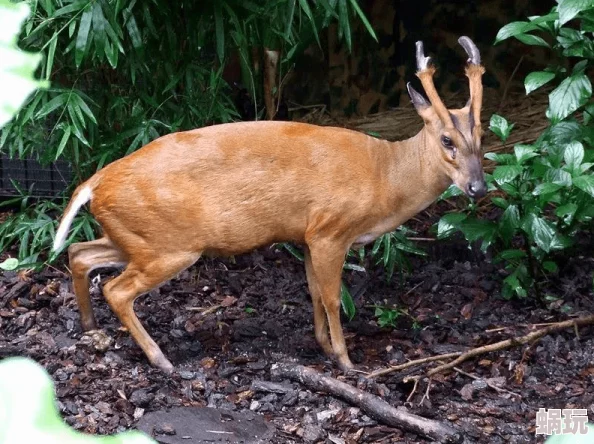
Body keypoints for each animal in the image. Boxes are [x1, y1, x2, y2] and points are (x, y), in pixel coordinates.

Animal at [52, 36, 486, 372]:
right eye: (447, 140)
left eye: (482, 135)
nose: (478, 187)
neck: (385, 175)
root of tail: (95, 183)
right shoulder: (331, 229)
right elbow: (332, 297)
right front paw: (346, 361)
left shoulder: (308, 235)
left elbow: (313, 291)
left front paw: (323, 346)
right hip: (169, 245)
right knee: (116, 289)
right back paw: (161, 359)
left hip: (135, 237)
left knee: (79, 253)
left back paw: (91, 328)